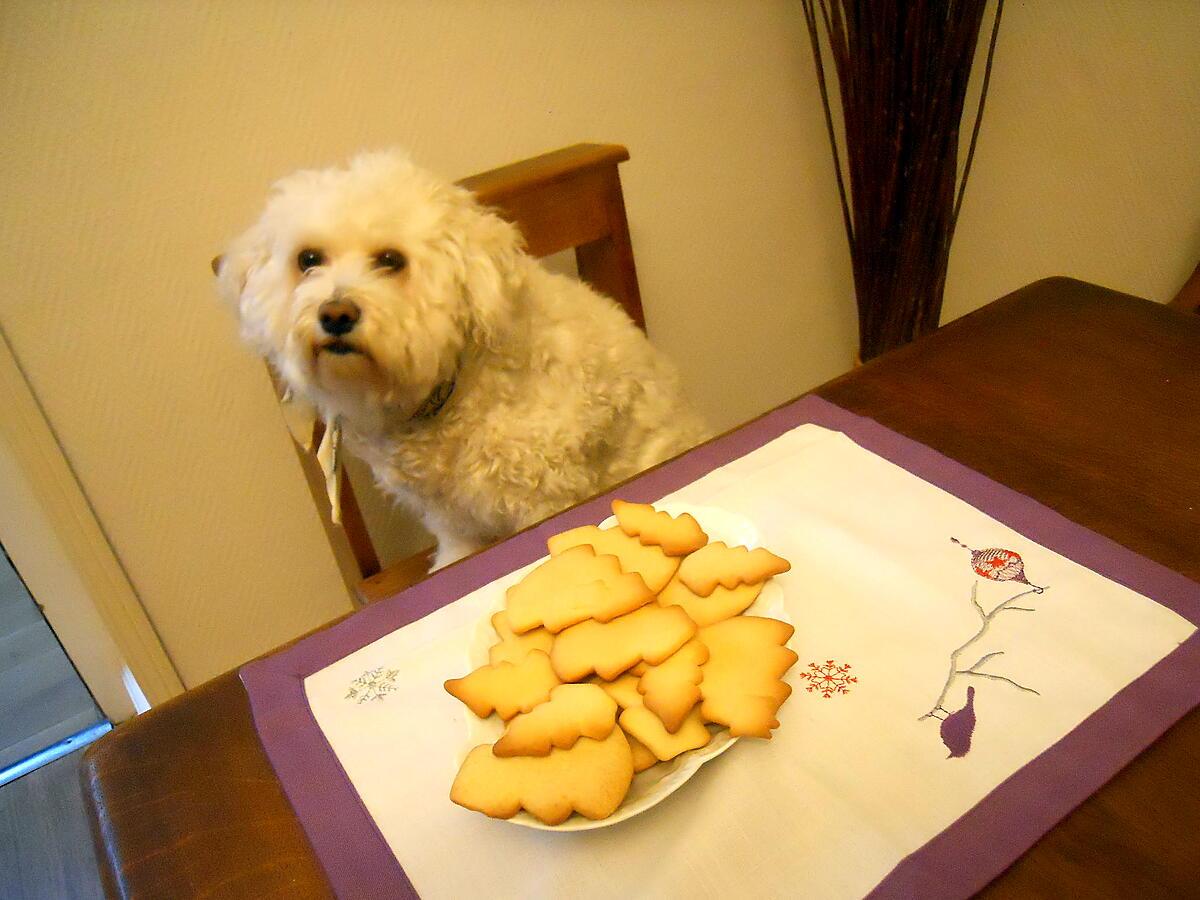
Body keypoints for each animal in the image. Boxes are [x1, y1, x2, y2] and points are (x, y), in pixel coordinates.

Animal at [216, 150, 705, 566]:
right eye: (308, 258)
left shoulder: (541, 496)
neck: (451, 388)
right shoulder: (451, 518)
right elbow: (456, 554)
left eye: (391, 259)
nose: (335, 314)